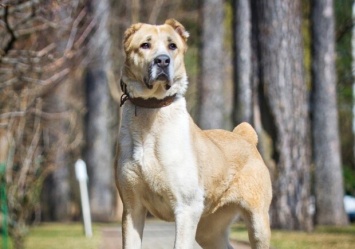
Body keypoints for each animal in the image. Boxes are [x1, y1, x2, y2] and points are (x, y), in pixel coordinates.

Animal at [117, 19, 272, 249]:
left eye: (172, 46)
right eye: (145, 45)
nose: (162, 60)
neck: (151, 110)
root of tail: (246, 138)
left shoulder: (186, 207)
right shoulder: (131, 207)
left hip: (258, 221)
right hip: (209, 229)